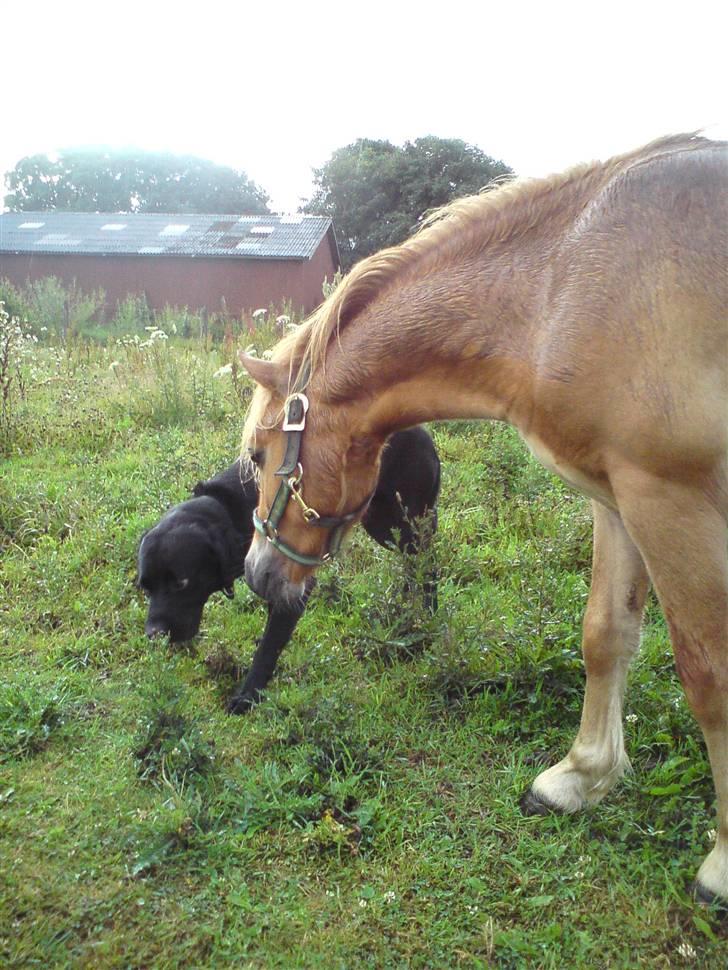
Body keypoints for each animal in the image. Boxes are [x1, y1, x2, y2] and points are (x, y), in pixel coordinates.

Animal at [139, 424, 440, 712]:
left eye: (181, 582)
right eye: (145, 588)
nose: (153, 635)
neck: (230, 508)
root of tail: (422, 431)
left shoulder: (293, 589)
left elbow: (269, 646)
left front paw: (247, 697)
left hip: (405, 523)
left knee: (427, 566)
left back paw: (426, 617)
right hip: (383, 526)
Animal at [242, 132, 724, 904]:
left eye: (259, 454)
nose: (257, 574)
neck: (561, 288)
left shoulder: (669, 498)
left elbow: (710, 672)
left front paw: (722, 863)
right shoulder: (618, 496)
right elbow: (605, 636)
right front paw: (579, 778)